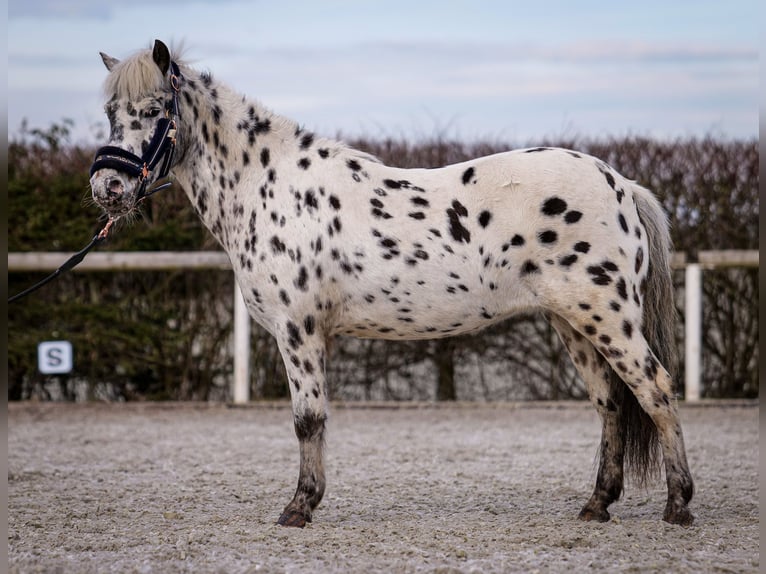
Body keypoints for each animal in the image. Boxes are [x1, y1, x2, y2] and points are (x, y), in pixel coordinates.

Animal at [88, 38, 696, 528]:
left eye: (152, 111)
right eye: (111, 114)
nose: (108, 187)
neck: (269, 186)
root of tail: (621, 184)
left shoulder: (297, 330)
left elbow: (308, 420)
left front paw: (299, 508)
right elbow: (314, 420)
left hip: (608, 318)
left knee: (656, 391)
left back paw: (678, 506)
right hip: (573, 323)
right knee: (610, 404)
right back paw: (597, 505)